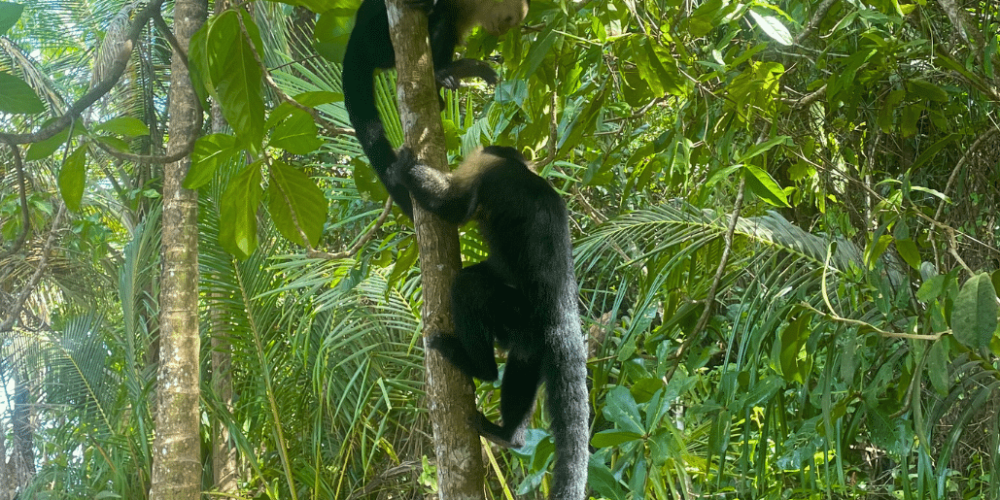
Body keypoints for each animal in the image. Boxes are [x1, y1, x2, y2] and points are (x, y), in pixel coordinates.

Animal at [388, 146, 592, 500]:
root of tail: (563, 315)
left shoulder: (488, 171)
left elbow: (452, 209)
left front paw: (402, 168)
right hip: (533, 331)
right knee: (525, 359)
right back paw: (509, 435)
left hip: (514, 311)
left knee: (468, 286)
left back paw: (479, 368)